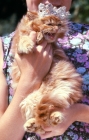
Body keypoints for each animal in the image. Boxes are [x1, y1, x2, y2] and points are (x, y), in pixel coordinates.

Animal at [11, 3, 82, 135]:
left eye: (59, 24)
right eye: (49, 24)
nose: (57, 28)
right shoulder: (19, 39)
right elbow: (23, 39)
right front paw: (28, 45)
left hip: (61, 92)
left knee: (49, 114)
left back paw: (55, 117)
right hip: (29, 100)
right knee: (41, 122)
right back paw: (32, 124)